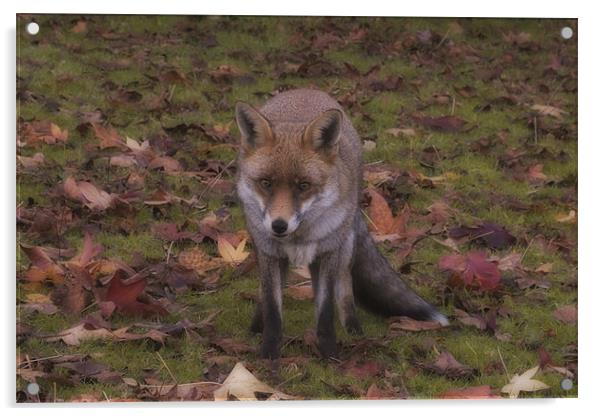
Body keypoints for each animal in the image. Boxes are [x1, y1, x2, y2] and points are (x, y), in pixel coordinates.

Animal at [233, 88, 446, 360]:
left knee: (345, 288)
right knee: (268, 292)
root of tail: (307, 89)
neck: (300, 237)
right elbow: (272, 308)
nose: (279, 226)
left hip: (344, 246)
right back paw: (256, 326)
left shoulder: (328, 254)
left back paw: (353, 328)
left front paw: (329, 354)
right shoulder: (270, 254)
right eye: (266, 183)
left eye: (303, 185)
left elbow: (325, 311)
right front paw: (268, 353)